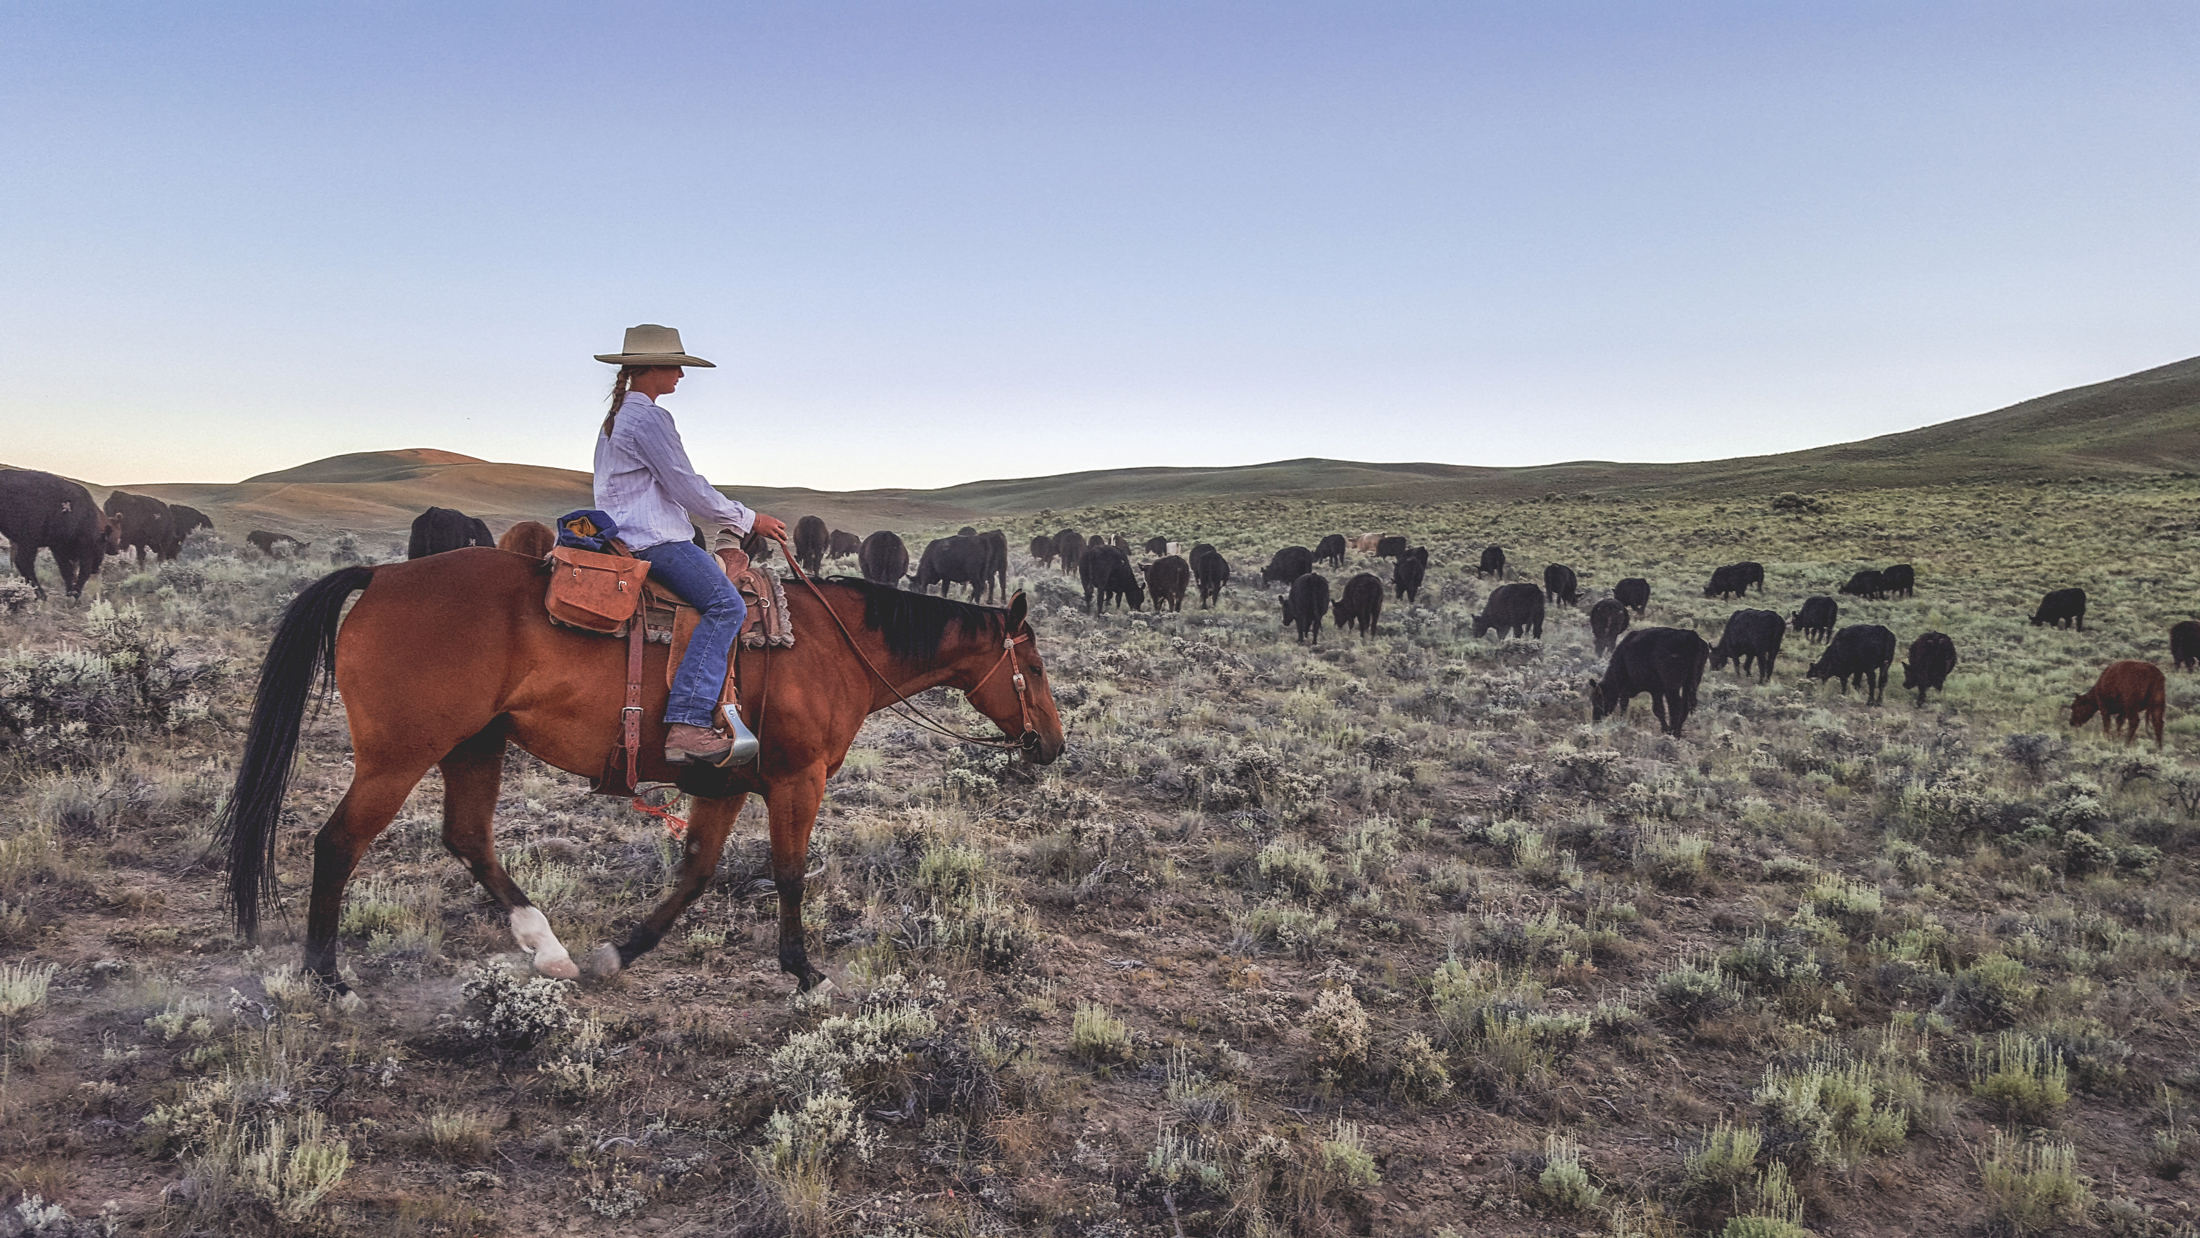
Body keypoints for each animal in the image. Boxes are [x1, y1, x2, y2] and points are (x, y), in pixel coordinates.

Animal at [0, 468, 121, 598]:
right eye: (102, 543)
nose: (115, 551)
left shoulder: (57, 549)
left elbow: (66, 570)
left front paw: (70, 592)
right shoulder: (80, 549)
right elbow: (80, 571)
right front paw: (75, 593)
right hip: (29, 540)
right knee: (24, 562)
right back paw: (41, 594)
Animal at [216, 547, 1064, 993]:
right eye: (1035, 666)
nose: (1052, 744)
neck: (834, 648)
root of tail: (384, 573)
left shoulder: (726, 783)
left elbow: (695, 873)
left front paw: (621, 952)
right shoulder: (797, 779)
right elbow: (790, 873)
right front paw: (805, 972)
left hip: (475, 745)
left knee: (469, 839)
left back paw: (549, 947)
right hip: (399, 757)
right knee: (338, 843)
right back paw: (329, 979)